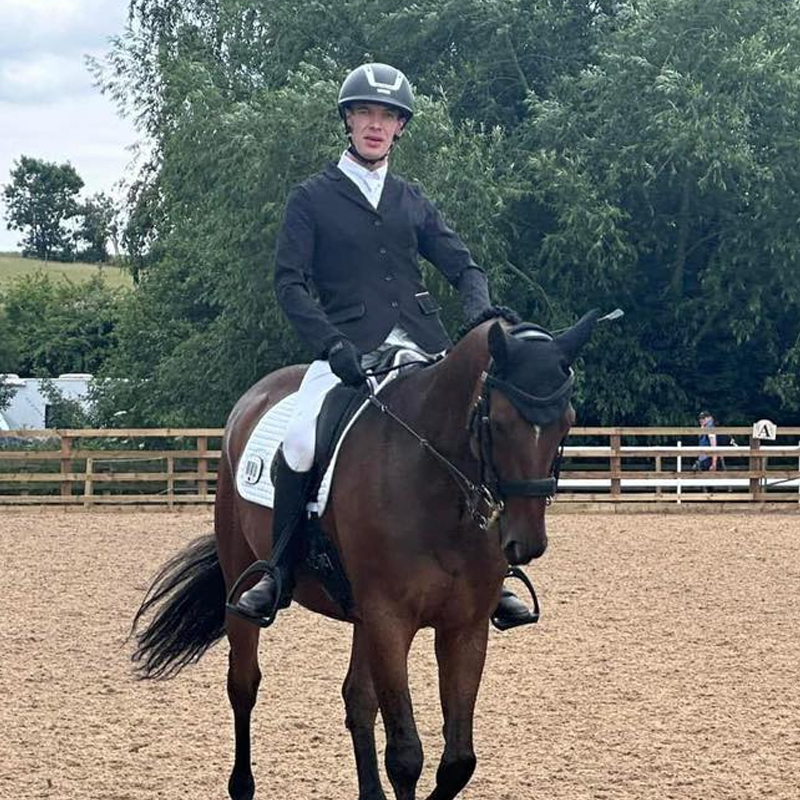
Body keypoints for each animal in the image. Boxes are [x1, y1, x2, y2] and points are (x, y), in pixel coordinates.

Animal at [131, 308, 596, 800]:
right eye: (500, 423)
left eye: (567, 423)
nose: (527, 542)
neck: (435, 485)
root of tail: (255, 397)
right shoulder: (389, 620)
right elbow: (406, 757)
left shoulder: (463, 627)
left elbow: (457, 762)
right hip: (245, 579)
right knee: (243, 685)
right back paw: (242, 784)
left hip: (361, 616)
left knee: (357, 699)